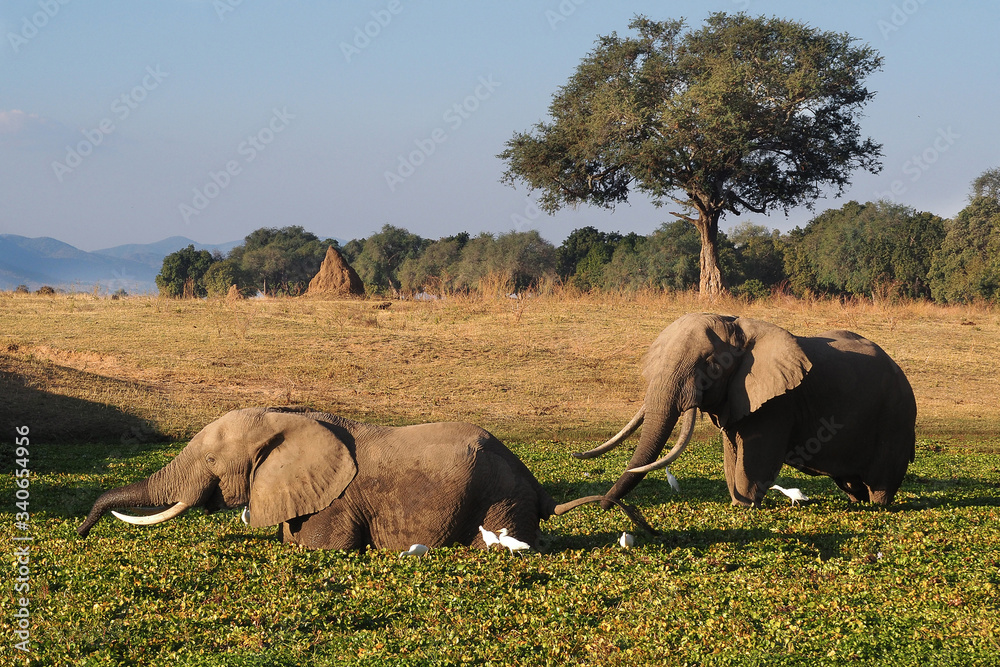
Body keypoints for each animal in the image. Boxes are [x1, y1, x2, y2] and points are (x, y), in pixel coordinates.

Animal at [78, 407, 639, 550]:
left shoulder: (336, 501)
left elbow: (322, 550)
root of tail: (539, 489)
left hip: (501, 499)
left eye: (212, 462)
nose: (82, 533)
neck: (288, 416)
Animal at [574, 313, 916, 509]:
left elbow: (756, 457)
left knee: (880, 484)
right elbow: (732, 453)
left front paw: (745, 508)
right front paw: (738, 503)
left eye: (712, 366)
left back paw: (878, 507)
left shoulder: (779, 403)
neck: (739, 326)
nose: (603, 506)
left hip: (895, 419)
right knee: (852, 484)